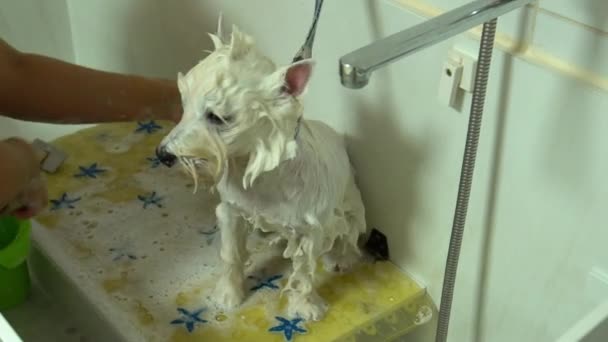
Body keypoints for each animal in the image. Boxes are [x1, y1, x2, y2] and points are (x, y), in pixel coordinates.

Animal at [157, 21, 366, 320]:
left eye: (217, 117)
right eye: (184, 106)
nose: (163, 155)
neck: (265, 180)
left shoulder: (310, 232)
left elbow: (304, 272)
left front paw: (305, 306)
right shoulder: (232, 211)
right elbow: (231, 255)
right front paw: (228, 295)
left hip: (350, 204)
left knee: (348, 232)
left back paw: (342, 258)